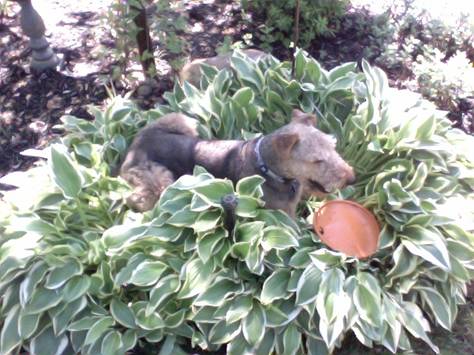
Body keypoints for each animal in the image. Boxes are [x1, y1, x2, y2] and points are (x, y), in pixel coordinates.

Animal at [122, 110, 356, 218]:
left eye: (333, 146)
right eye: (317, 160)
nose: (352, 179)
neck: (267, 170)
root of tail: (137, 140)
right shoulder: (280, 216)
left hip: (184, 122)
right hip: (159, 180)